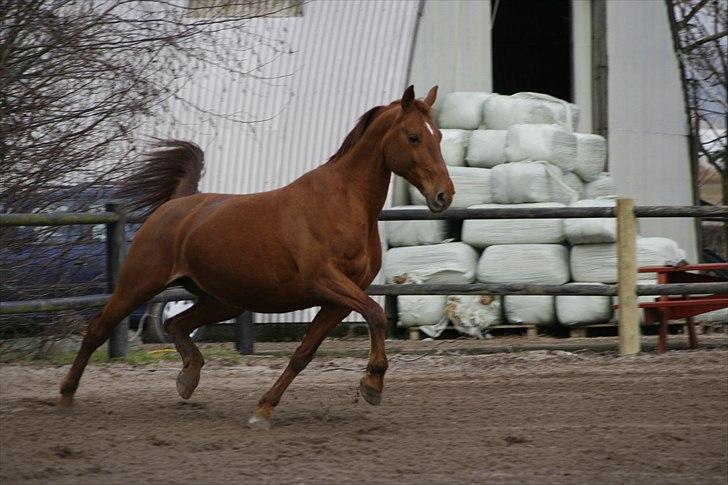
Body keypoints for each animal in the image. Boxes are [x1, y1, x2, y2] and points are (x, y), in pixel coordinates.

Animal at [58, 85, 456, 430]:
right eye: (414, 137)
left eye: (438, 135)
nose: (444, 195)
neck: (342, 204)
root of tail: (178, 204)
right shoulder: (326, 282)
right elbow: (375, 315)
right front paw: (372, 384)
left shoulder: (339, 300)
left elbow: (304, 353)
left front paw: (264, 409)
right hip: (138, 285)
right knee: (97, 330)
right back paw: (66, 396)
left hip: (223, 300)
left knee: (176, 324)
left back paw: (188, 377)